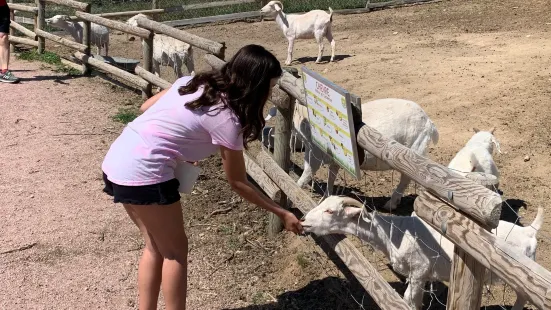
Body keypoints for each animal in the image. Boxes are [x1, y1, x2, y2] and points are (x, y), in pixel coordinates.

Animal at [284, 99, 440, 211]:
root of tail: (429, 123)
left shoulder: (314, 153)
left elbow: (304, 177)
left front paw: (289, 200)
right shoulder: (335, 159)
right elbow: (331, 177)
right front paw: (326, 198)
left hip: (413, 151)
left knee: (407, 178)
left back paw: (391, 204)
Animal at [304, 196, 544, 310]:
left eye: (330, 211)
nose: (304, 221)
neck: (393, 233)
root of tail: (530, 231)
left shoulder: (419, 271)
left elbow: (409, 300)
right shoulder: (417, 275)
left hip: (518, 277)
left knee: (523, 297)